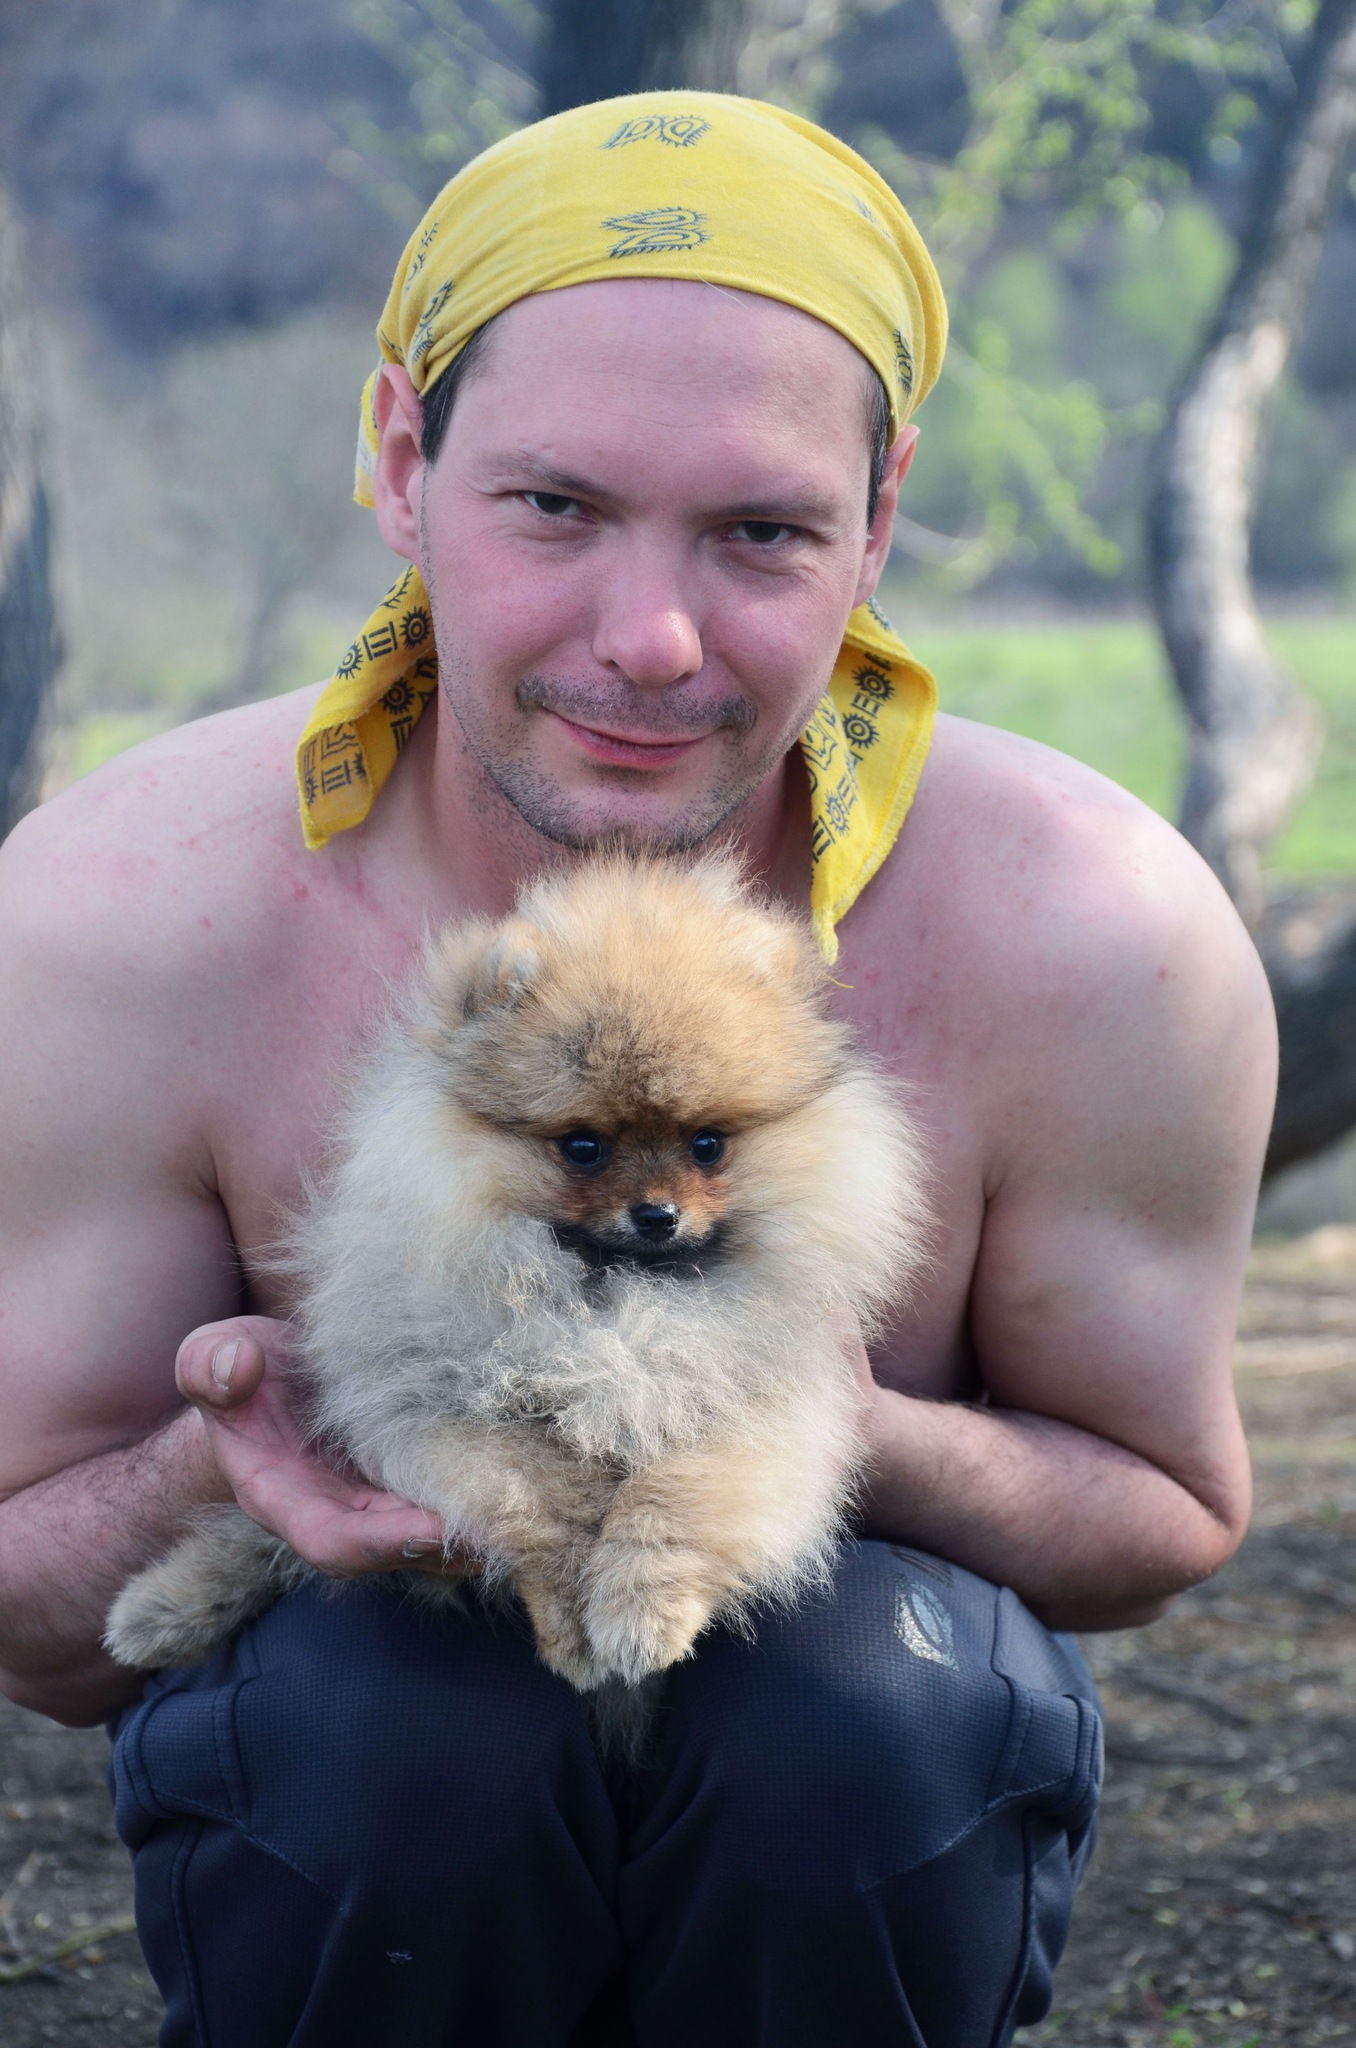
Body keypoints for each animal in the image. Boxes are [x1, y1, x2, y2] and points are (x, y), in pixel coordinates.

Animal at [106, 851, 931, 1695]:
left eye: (707, 1144)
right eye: (583, 1147)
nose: (658, 1215)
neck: (615, 1305)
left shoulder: (753, 1411)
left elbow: (669, 1504)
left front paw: (640, 1613)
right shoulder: (458, 1409)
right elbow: (546, 1511)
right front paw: (573, 1622)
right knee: (251, 1538)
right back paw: (158, 1609)